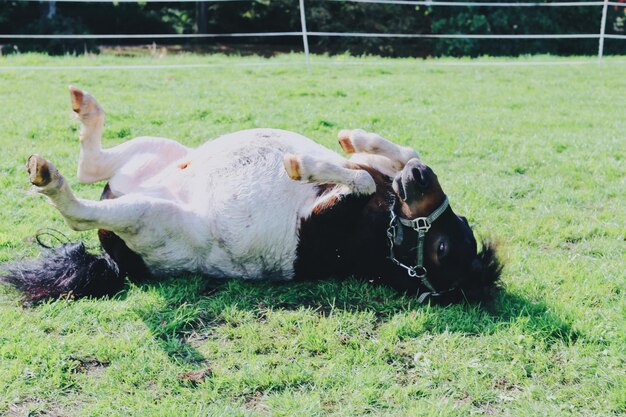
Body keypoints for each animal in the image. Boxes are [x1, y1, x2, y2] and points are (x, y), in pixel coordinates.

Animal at [0, 86, 500, 304]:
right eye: (455, 231)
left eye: (441, 249)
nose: (420, 176)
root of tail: (112, 257)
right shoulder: (381, 180)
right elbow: (382, 159)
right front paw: (353, 138)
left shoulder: (329, 210)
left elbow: (355, 178)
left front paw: (302, 163)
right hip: (155, 151)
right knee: (91, 164)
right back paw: (84, 108)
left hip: (148, 215)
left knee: (79, 209)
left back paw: (49, 177)